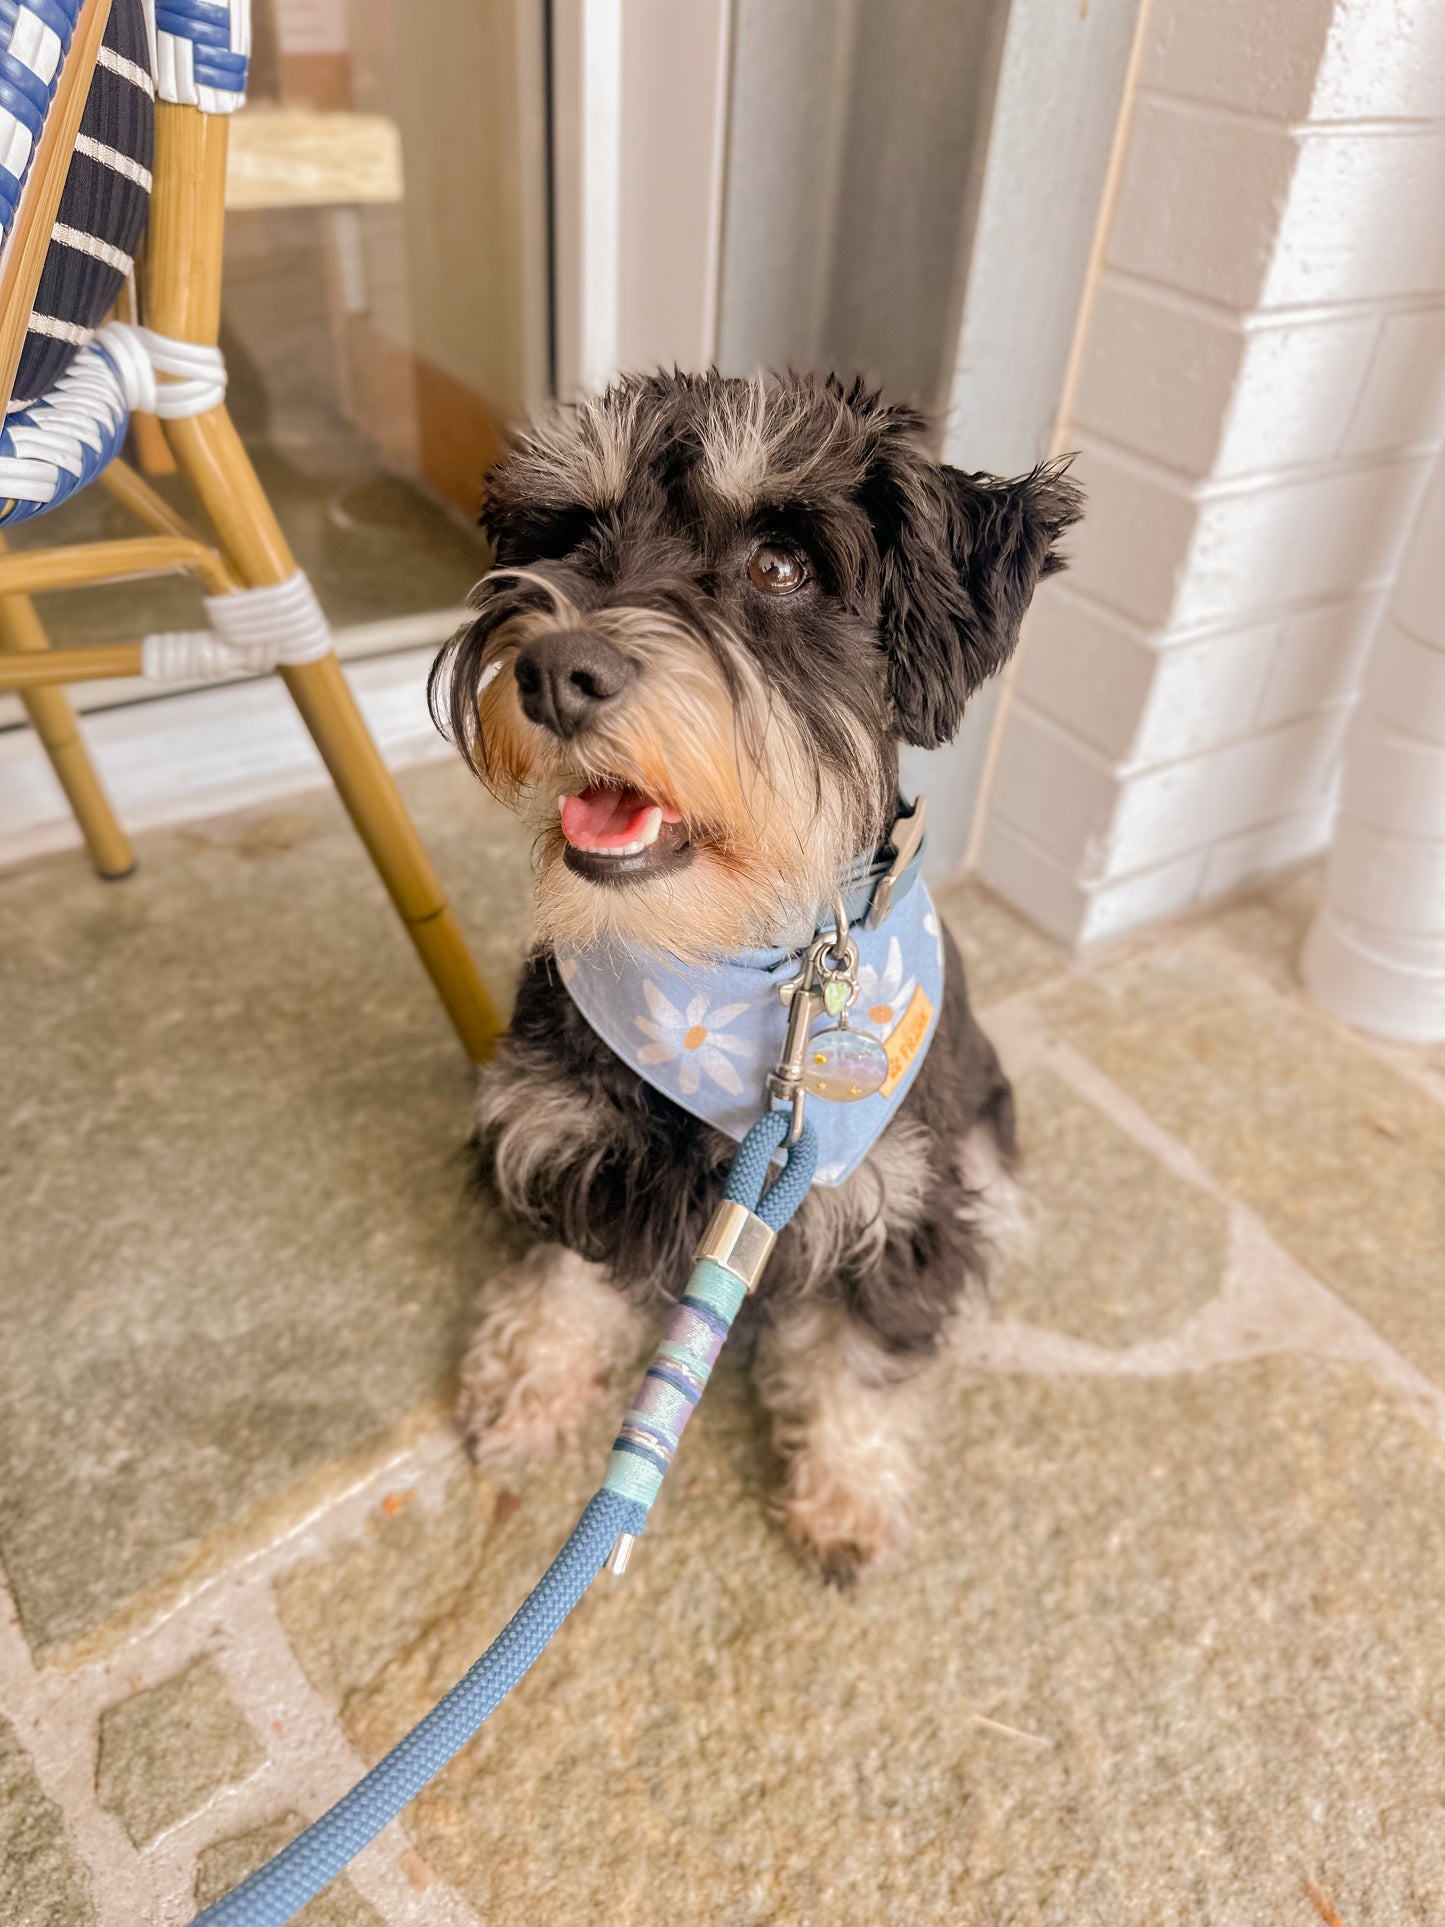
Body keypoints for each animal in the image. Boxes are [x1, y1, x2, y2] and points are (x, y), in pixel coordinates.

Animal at [435, 364, 1078, 1580]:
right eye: (570, 531)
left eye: (780, 564)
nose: (551, 671)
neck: (727, 974)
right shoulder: (574, 1141)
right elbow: (568, 1270)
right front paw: (530, 1379)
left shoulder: (895, 1203)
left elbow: (867, 1352)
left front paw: (848, 1494)